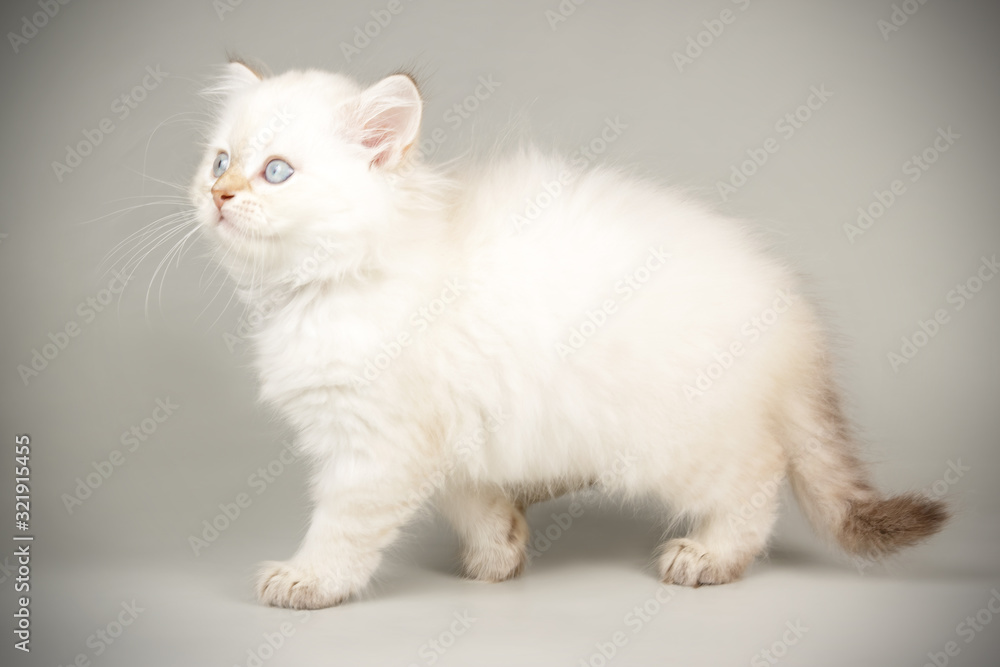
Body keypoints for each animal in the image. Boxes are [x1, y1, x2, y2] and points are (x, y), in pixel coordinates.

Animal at [191, 61, 948, 612]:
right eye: (219, 161)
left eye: (277, 172)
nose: (218, 196)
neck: (326, 285)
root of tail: (790, 312)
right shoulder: (447, 435)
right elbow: (472, 502)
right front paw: (497, 553)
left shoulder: (376, 446)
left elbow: (342, 527)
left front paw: (309, 579)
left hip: (673, 439)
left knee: (757, 478)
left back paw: (711, 556)